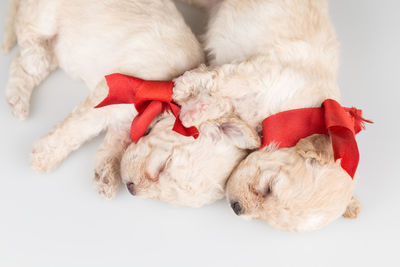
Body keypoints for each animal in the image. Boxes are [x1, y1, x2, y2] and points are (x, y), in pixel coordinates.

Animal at [172, 0, 368, 231]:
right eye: (269, 187)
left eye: (269, 219)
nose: (237, 208)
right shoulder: (257, 74)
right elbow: (218, 80)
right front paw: (183, 89)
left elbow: (221, 102)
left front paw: (195, 109)